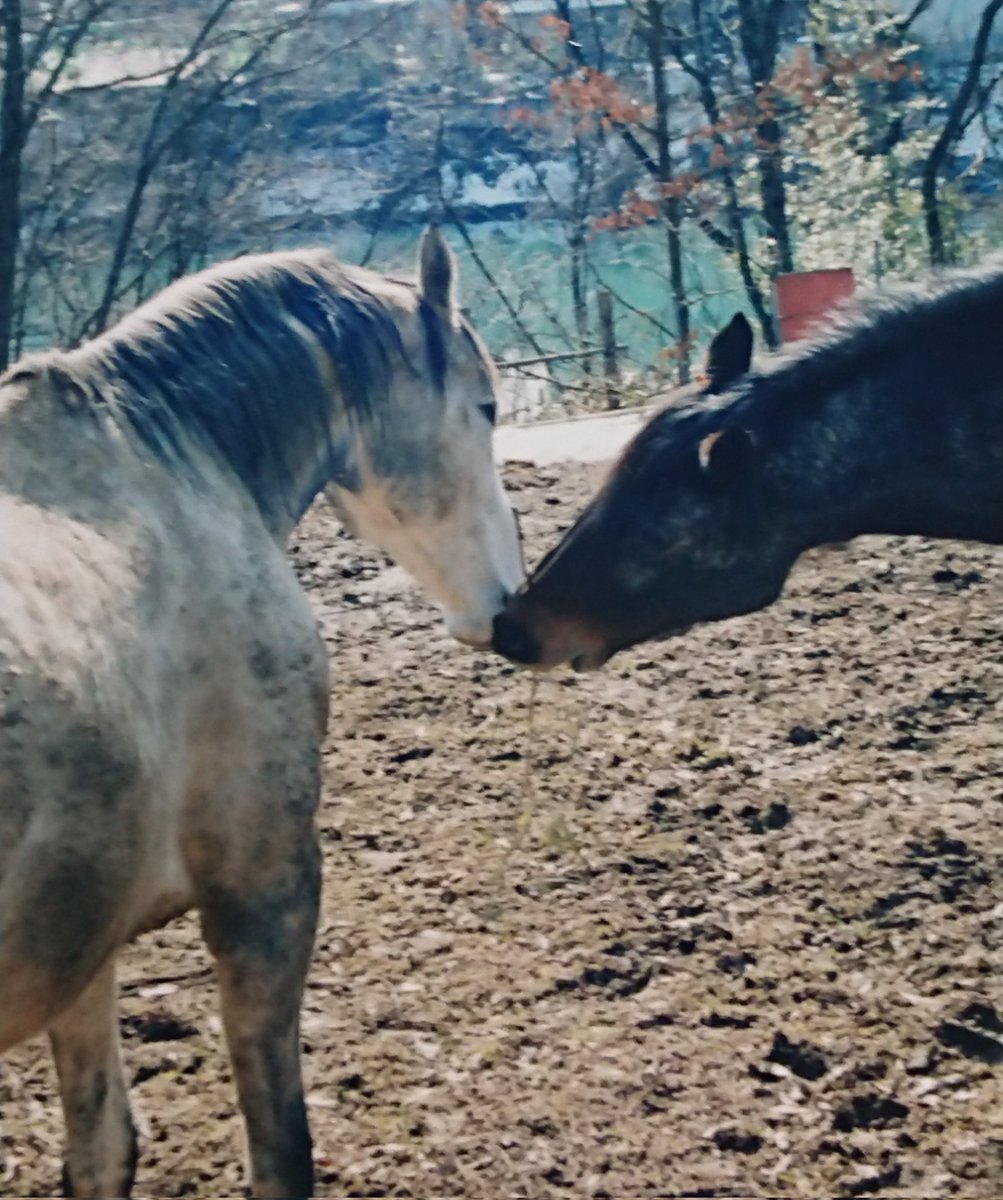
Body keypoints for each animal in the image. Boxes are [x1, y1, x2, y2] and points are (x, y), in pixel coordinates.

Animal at [0, 226, 523, 1198]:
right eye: (486, 407)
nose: (506, 604)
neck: (169, 464)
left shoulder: (81, 938)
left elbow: (102, 1149)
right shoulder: (263, 886)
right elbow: (280, 1150)